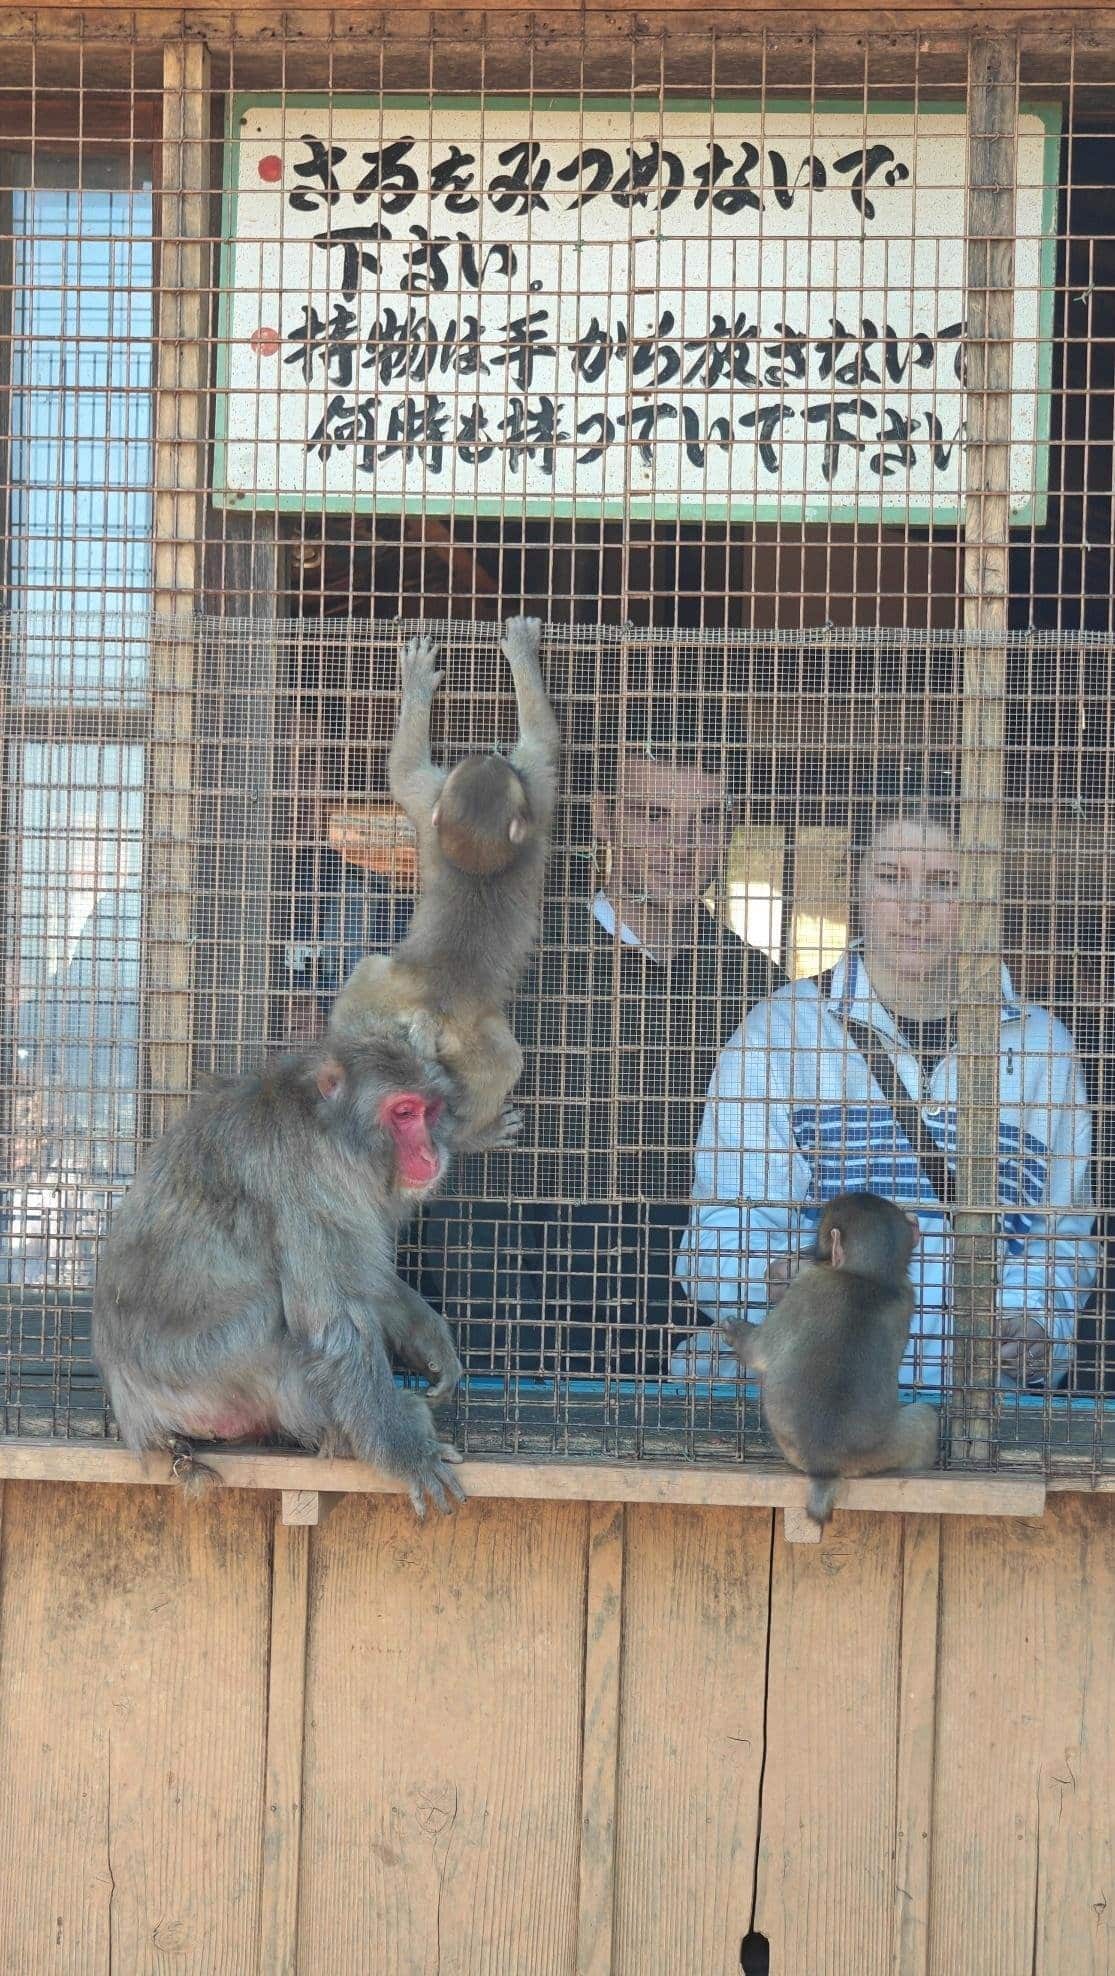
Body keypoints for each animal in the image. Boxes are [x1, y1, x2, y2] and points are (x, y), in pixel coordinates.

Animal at [92, 1019, 466, 1517]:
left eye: (429, 1111)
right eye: (404, 1113)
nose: (431, 1153)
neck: (325, 1123)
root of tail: (137, 1421)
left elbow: (364, 1276)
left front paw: (428, 1338)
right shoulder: (310, 1177)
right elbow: (334, 1323)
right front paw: (403, 1451)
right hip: (210, 1376)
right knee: (279, 1317)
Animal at [329, 615, 560, 1150]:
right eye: (501, 770)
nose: (490, 754)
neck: (478, 869)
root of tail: (427, 1014)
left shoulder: (440, 800)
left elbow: (405, 771)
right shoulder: (534, 792)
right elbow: (543, 741)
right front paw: (521, 654)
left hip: (390, 993)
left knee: (371, 969)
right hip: (436, 1020)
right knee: (503, 1062)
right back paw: (474, 1135)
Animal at [721, 1192, 939, 1528]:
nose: (811, 1252)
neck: (866, 1275)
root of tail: (826, 1466)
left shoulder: (806, 1284)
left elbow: (758, 1352)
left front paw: (737, 1332)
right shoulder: (907, 1296)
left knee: (926, 1416)